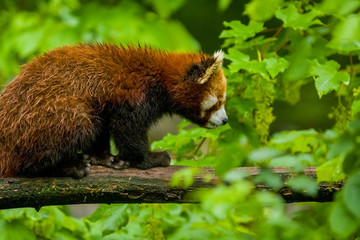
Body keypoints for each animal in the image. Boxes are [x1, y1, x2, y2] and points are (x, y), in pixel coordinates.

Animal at [0, 43, 226, 178]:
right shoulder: (134, 94)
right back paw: (68, 167)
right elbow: (127, 128)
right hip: (49, 116)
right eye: (218, 102)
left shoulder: (106, 104)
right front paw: (148, 159)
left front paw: (103, 157)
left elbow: (104, 127)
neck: (159, 77)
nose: (225, 120)